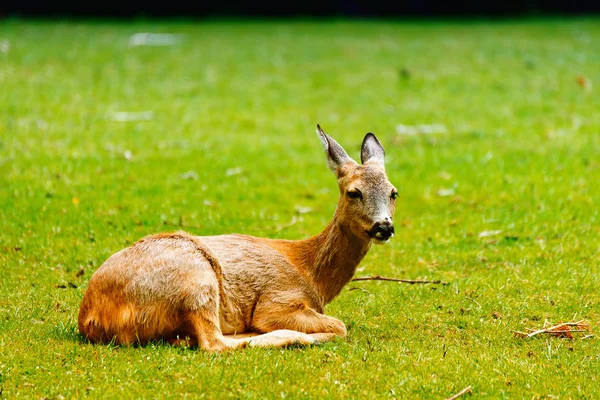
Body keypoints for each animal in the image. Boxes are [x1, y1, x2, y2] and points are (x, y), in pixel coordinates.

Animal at [78, 124, 398, 350]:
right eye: (354, 192)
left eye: (394, 192)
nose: (384, 226)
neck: (312, 276)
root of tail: (91, 318)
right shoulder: (275, 302)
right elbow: (340, 326)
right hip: (195, 279)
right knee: (213, 343)